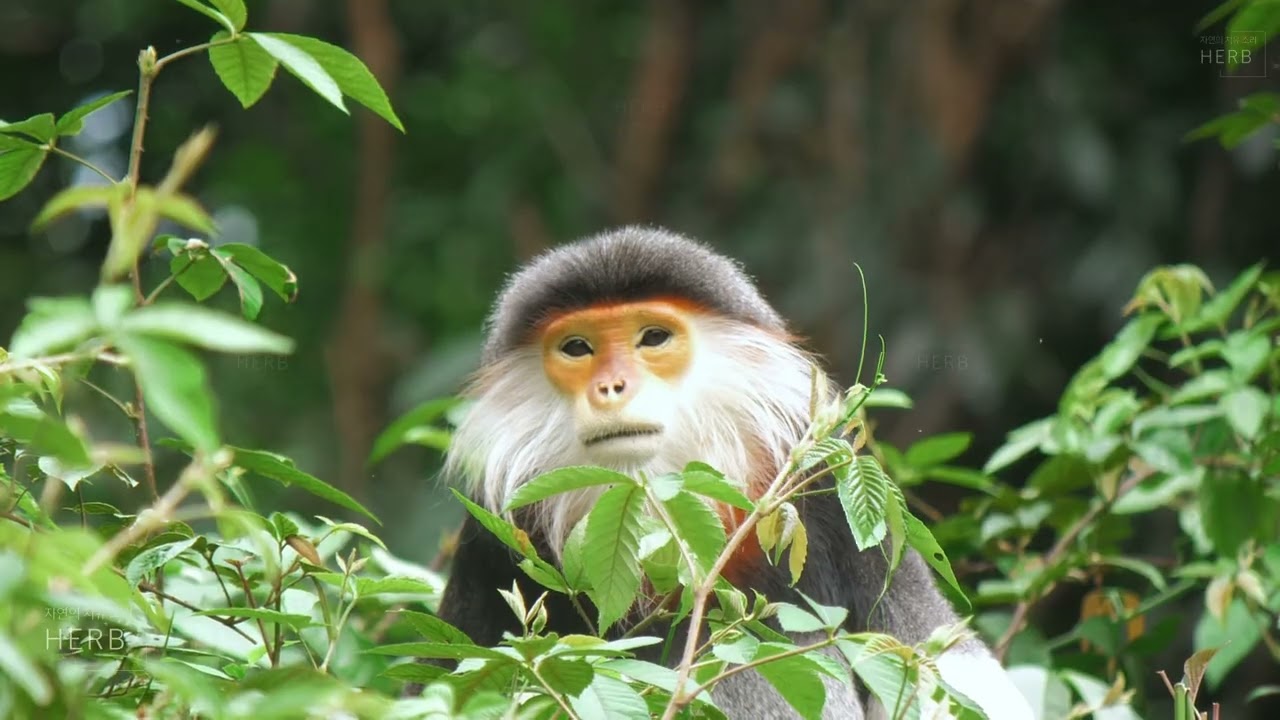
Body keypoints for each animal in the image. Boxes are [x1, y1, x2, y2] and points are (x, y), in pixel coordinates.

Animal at [420, 227, 1034, 719]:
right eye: (577, 348)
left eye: (653, 338)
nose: (611, 387)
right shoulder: (492, 536)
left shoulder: (832, 486)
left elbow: (940, 666)